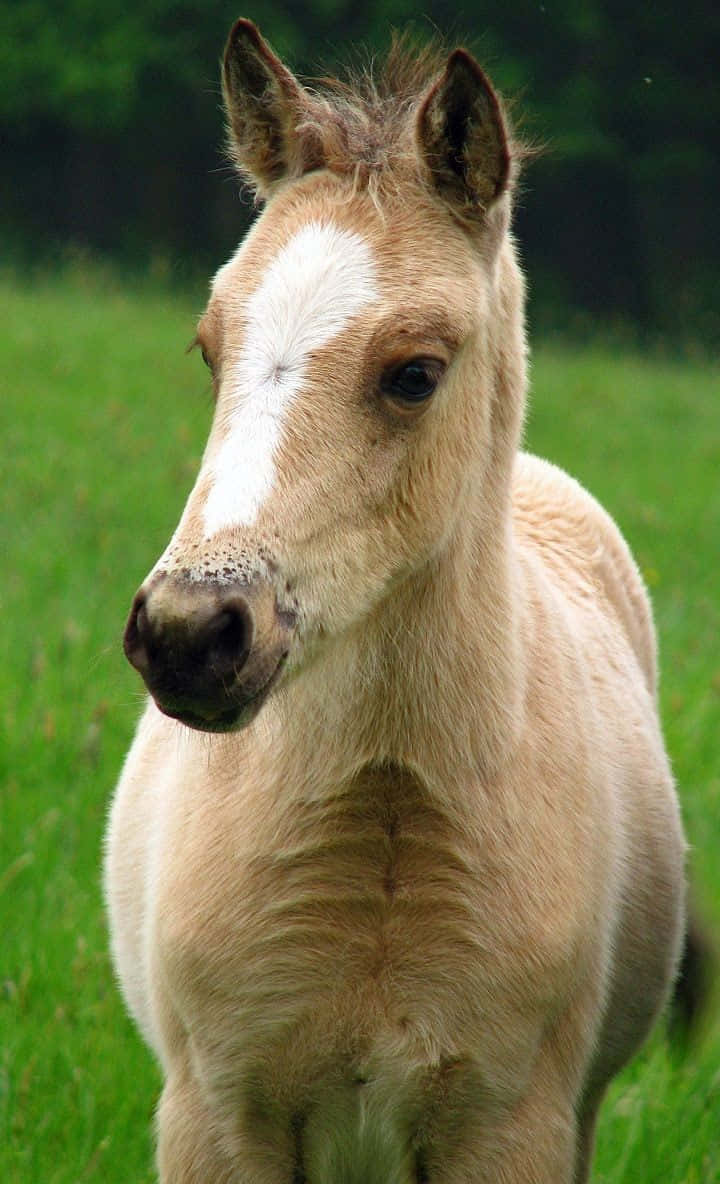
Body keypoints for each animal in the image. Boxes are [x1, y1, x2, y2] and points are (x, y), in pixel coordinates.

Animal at [105, 18, 686, 1183]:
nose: (189, 636)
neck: (379, 811)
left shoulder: (512, 1127)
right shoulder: (214, 1120)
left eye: (415, 372)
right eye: (208, 349)